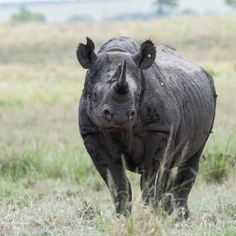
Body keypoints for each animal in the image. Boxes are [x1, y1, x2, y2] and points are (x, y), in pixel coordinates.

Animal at [76, 36, 217, 219]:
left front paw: (150, 216)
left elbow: (149, 181)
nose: (120, 115)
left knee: (191, 157)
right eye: (94, 94)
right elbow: (117, 182)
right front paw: (123, 218)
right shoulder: (92, 134)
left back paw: (179, 218)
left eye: (137, 95)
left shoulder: (159, 129)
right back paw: (170, 214)